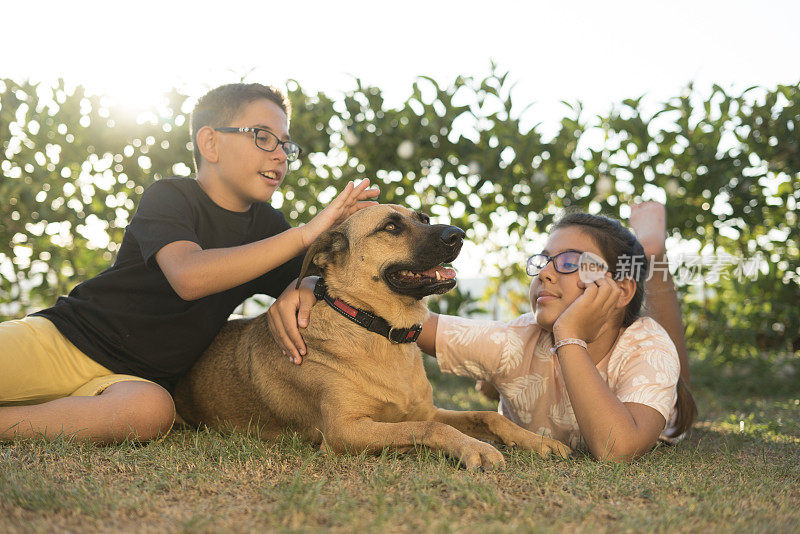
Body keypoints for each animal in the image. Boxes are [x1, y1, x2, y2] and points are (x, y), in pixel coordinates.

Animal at [177, 205, 568, 468]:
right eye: (391, 227)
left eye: (424, 219)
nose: (457, 233)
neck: (379, 331)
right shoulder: (344, 431)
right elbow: (429, 429)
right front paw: (477, 448)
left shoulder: (427, 408)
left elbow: (487, 416)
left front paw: (535, 440)